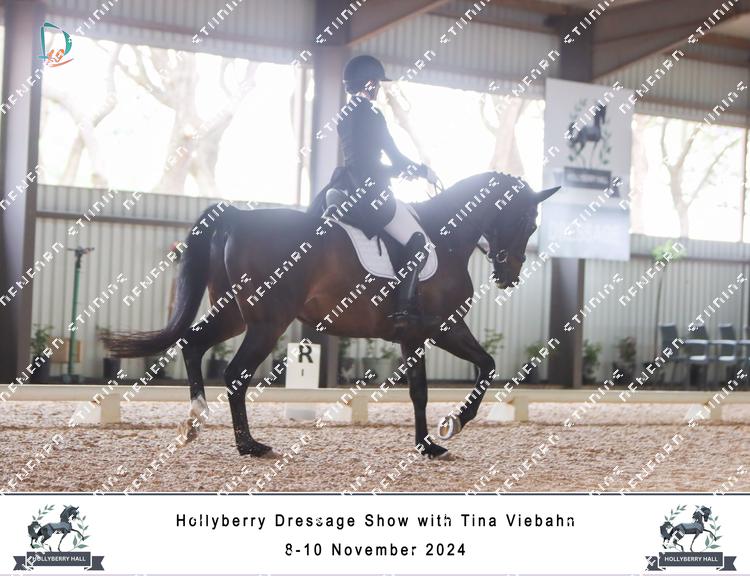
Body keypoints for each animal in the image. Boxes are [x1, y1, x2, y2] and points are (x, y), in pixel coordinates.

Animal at [103, 172, 560, 459]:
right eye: (527, 221)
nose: (508, 276)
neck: (445, 236)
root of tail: (237, 216)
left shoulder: (419, 335)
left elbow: (440, 383)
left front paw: (429, 442)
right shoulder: (439, 327)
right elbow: (473, 372)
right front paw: (452, 426)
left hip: (234, 314)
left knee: (193, 343)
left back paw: (195, 421)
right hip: (267, 322)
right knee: (234, 374)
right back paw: (250, 445)